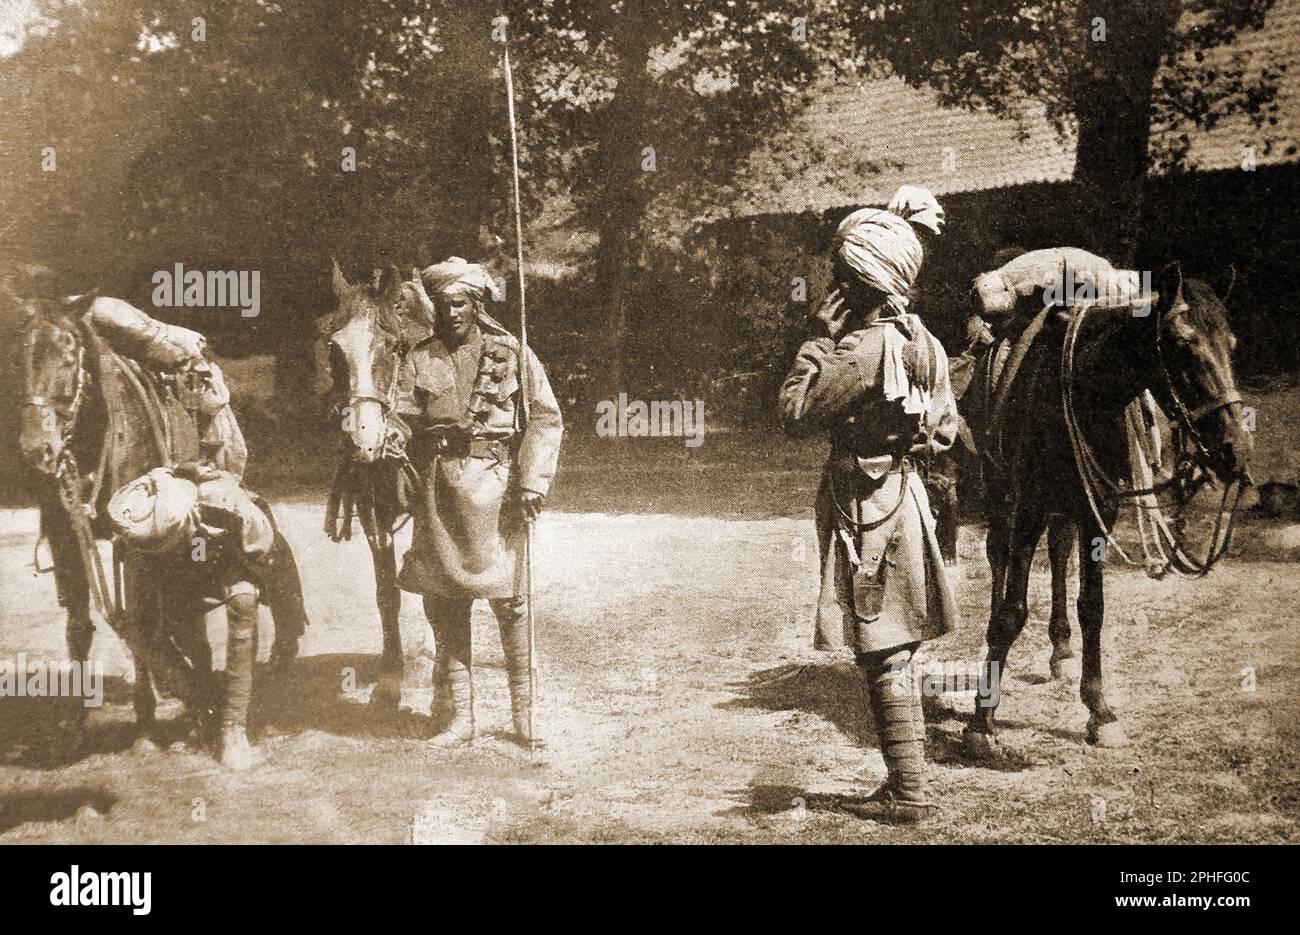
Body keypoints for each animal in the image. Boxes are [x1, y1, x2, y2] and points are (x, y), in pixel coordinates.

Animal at [19, 296, 220, 743]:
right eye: (18, 357)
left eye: (70, 357)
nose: (37, 448)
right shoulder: (65, 536)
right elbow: (79, 628)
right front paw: (75, 722)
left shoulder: (137, 539)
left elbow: (139, 620)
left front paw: (146, 716)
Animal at [967, 260, 1248, 759]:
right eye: (1184, 345)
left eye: (1230, 344)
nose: (1235, 448)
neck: (1084, 393)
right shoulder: (1028, 507)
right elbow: (1013, 611)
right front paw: (983, 722)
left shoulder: (1097, 511)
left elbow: (1092, 606)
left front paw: (1099, 710)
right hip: (999, 491)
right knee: (997, 554)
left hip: (1064, 505)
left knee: (1059, 551)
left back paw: (1060, 649)